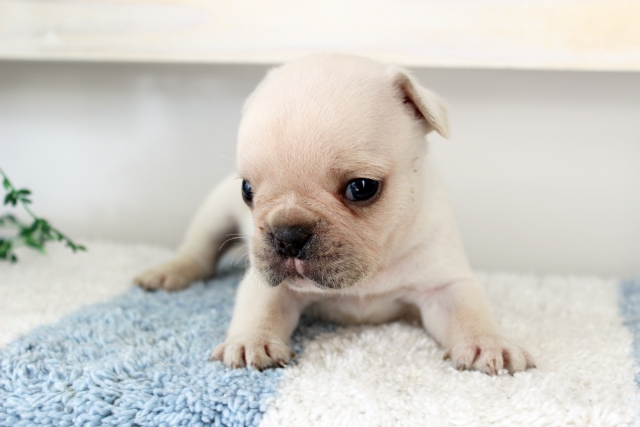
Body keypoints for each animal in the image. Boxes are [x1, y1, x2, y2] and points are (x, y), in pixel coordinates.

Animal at [135, 54, 534, 375]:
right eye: (247, 190)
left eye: (362, 188)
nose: (288, 235)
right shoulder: (266, 279)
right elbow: (259, 307)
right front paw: (251, 342)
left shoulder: (443, 282)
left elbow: (469, 312)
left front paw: (488, 344)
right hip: (212, 213)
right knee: (196, 252)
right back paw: (168, 272)